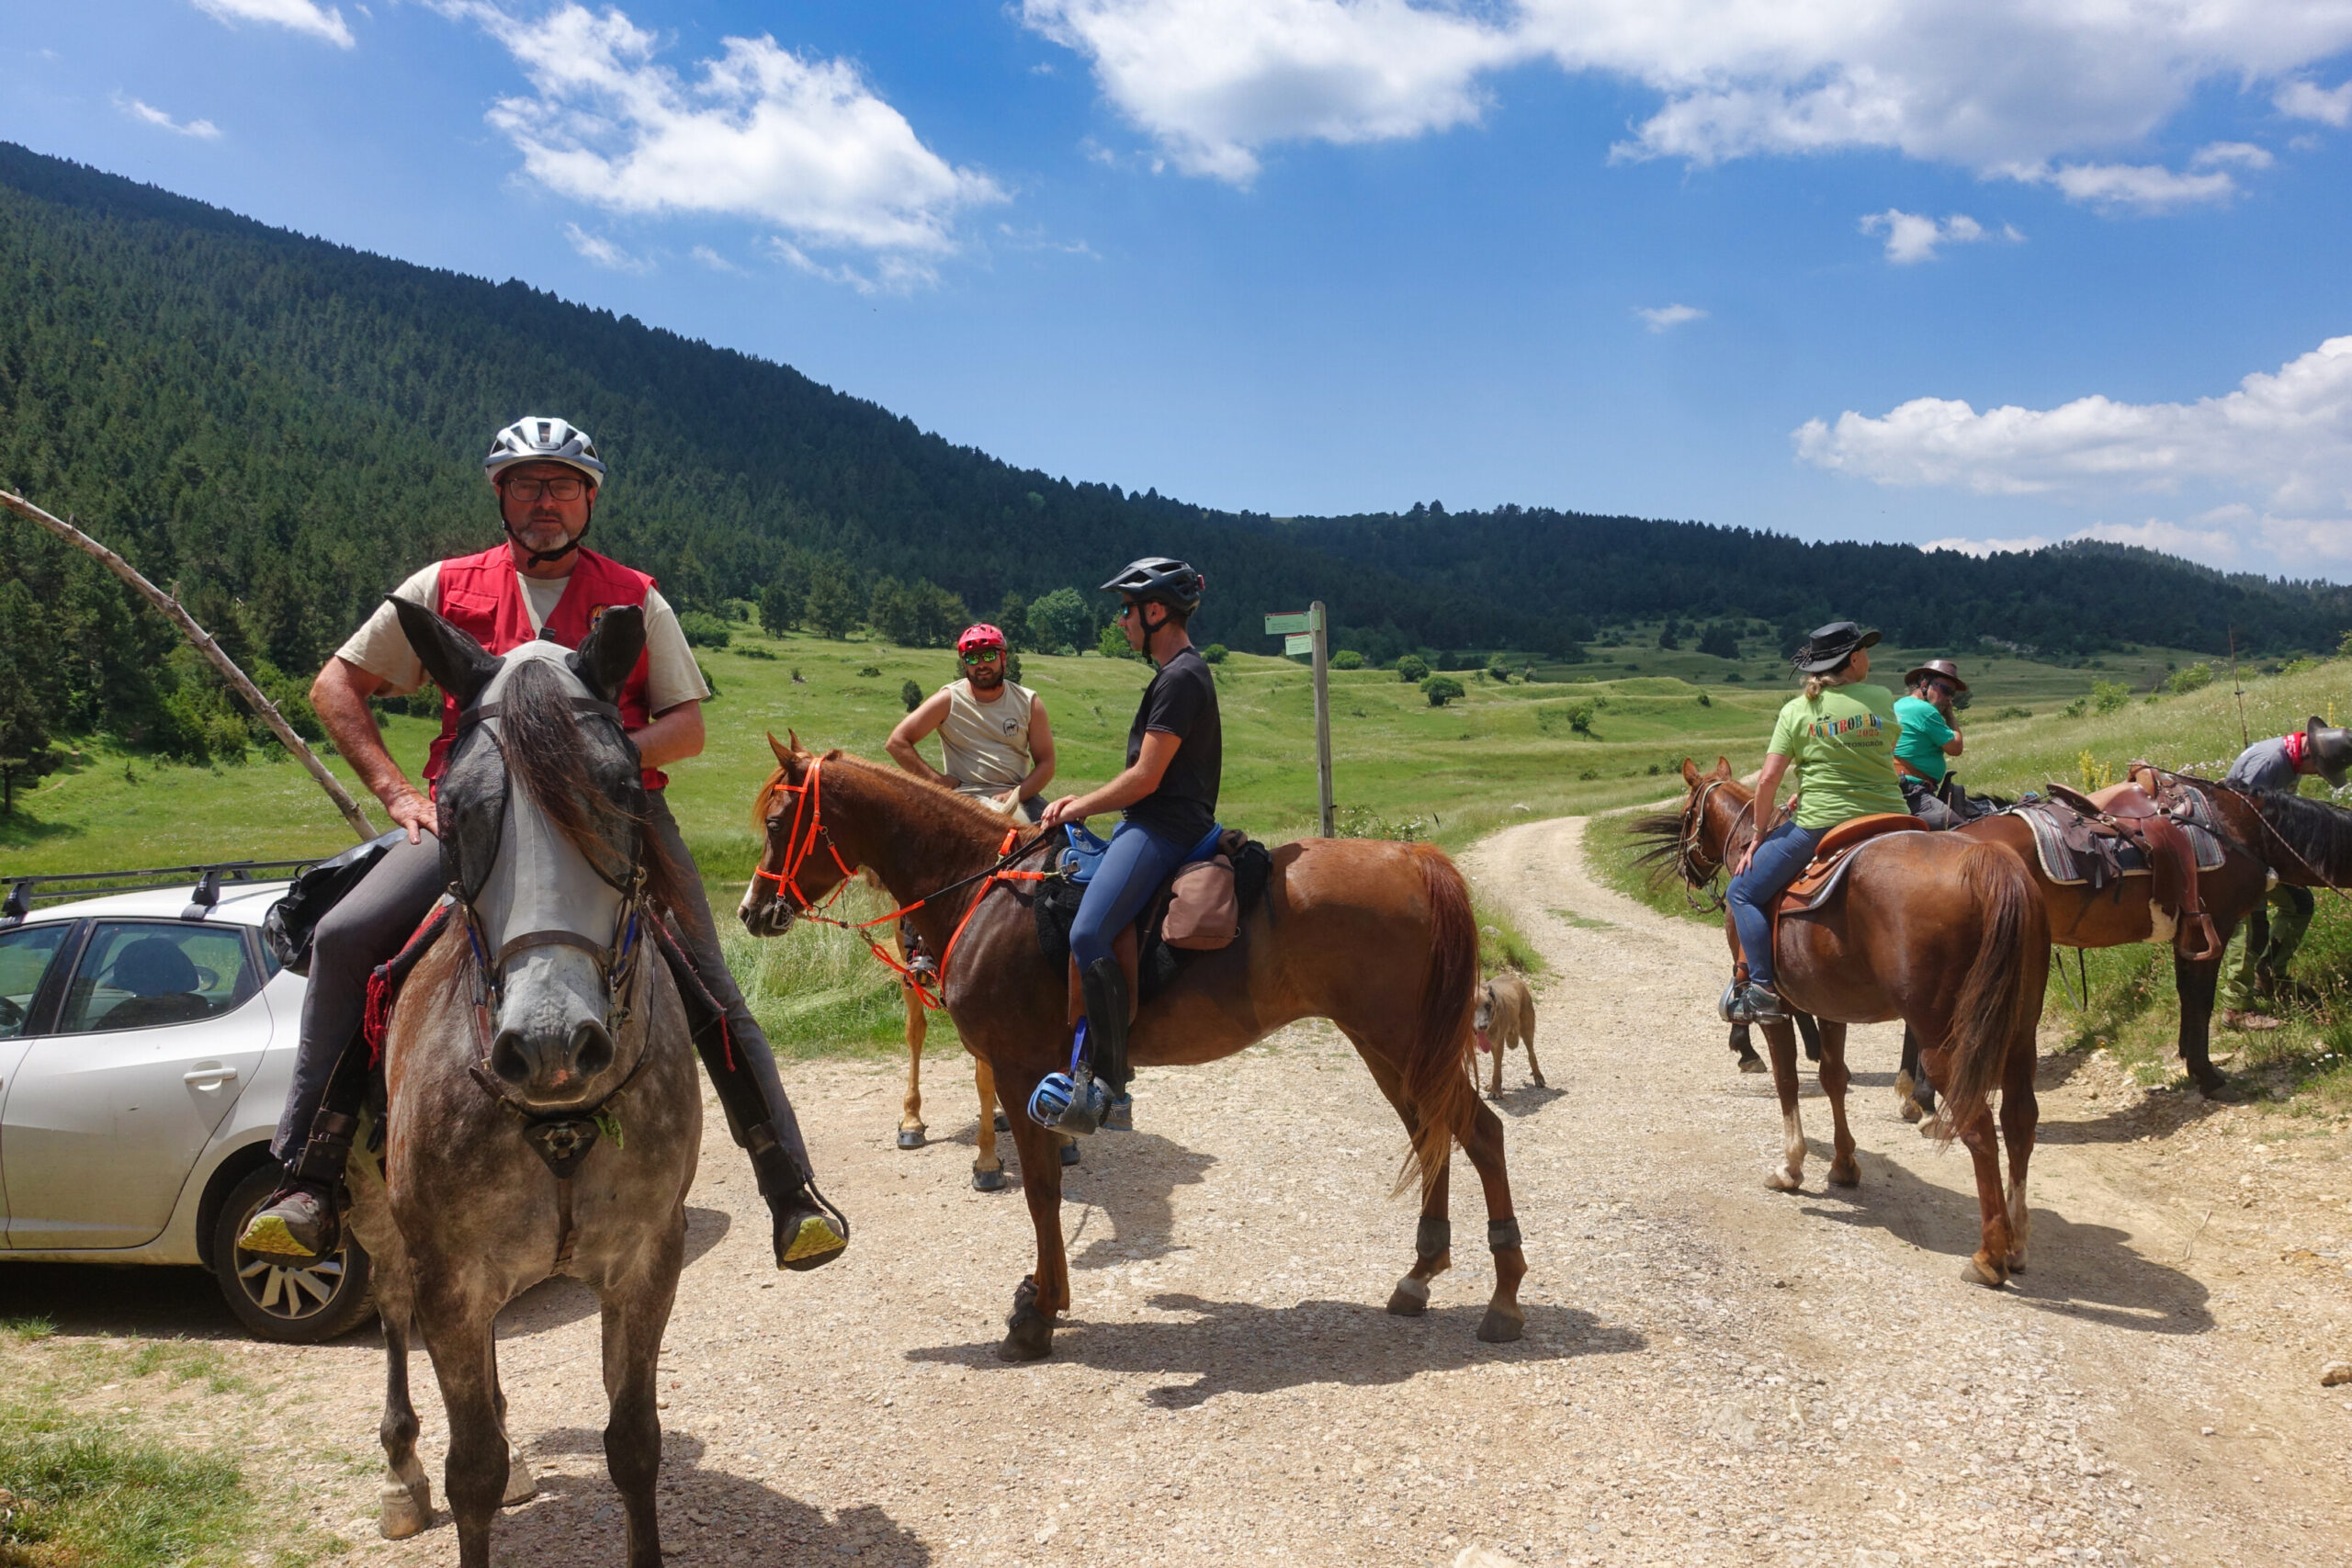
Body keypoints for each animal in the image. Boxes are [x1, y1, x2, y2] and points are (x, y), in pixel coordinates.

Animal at [345, 600, 701, 1568]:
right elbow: (472, 1472)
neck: (562, 1120)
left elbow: (634, 1445)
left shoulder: (645, 1262)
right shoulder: (449, 1276)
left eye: (621, 791)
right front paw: (452, 1476)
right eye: (452, 806)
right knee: (389, 1307)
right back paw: (400, 1473)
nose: (550, 1046)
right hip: (374, 1217)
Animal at [737, 736, 1518, 1359]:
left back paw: (1503, 1297)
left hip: (1399, 1038)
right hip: (1389, 1047)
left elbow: (1042, 1191)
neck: (988, 893)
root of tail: (1414, 859)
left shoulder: (1020, 1069)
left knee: (1477, 1131)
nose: (750, 911)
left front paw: (1040, 1313)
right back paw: (1419, 1276)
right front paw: (1043, 1295)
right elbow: (1045, 1189)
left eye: (778, 822)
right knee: (1434, 1132)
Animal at [1636, 759, 2050, 1287]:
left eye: (1688, 813)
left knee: (1977, 1124)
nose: (1687, 872)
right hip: (2019, 1032)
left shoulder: (1776, 1010)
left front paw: (1791, 1167)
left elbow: (1788, 1080)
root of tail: (1986, 862)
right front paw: (1843, 1163)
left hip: (1946, 1038)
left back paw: (1989, 1254)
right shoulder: (1832, 1007)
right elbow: (1834, 1078)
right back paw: (2017, 1244)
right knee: (2019, 1121)